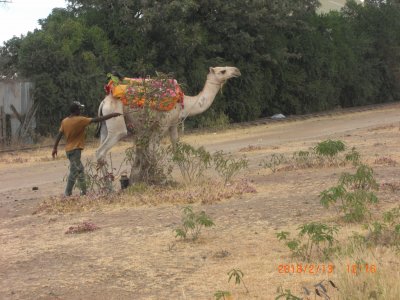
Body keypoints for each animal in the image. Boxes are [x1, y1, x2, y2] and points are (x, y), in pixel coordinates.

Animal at [96, 66, 241, 182]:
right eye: (222, 71)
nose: (237, 71)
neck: (184, 103)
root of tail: (104, 102)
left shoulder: (172, 125)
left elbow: (175, 150)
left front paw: (185, 177)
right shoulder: (162, 125)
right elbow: (152, 151)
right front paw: (156, 179)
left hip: (105, 124)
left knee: (100, 149)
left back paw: (106, 185)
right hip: (116, 122)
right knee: (102, 151)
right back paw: (108, 186)